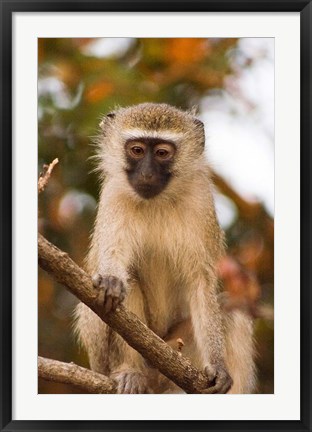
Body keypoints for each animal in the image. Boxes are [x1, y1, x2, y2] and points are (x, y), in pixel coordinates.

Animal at [73, 103, 256, 394]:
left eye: (161, 153)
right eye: (137, 150)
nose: (147, 174)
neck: (156, 201)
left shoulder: (201, 200)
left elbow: (201, 282)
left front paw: (218, 366)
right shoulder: (113, 195)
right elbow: (112, 257)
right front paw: (111, 280)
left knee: (231, 308)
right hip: (106, 359)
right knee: (129, 283)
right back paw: (131, 372)